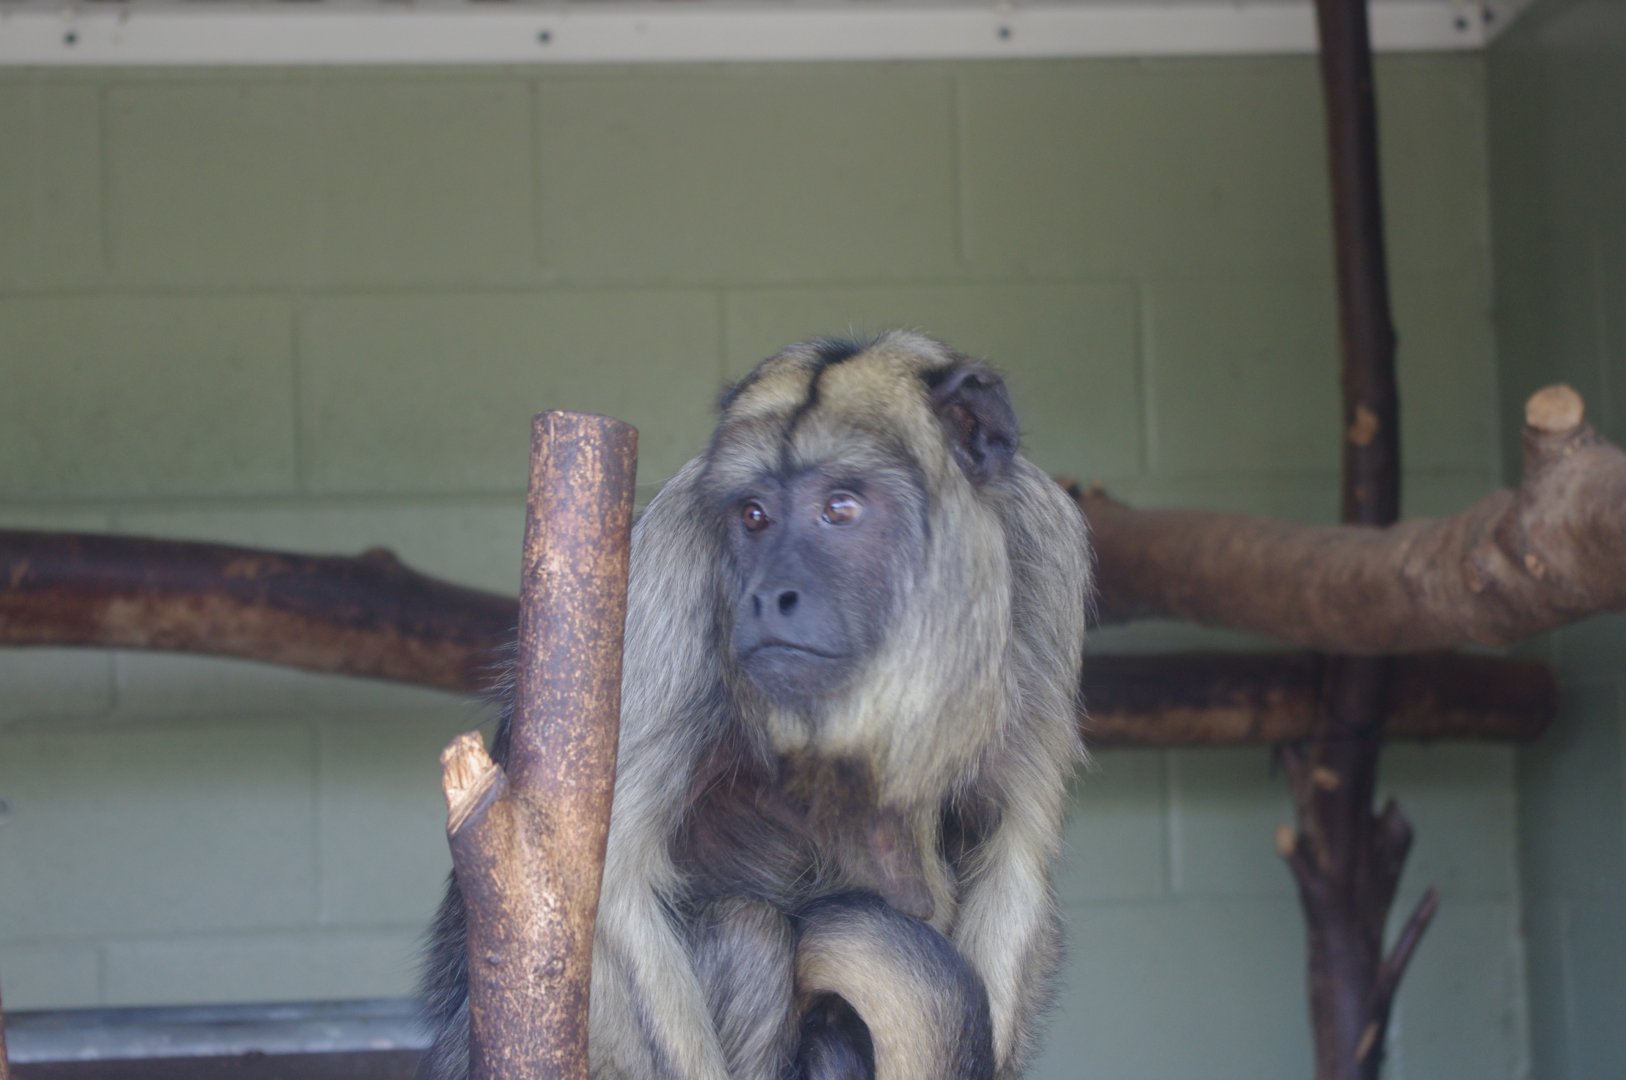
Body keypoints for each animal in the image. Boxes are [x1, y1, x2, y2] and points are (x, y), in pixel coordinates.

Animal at [418, 331, 1091, 1080]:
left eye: (841, 508)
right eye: (754, 517)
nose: (769, 595)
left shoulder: (1046, 562)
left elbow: (1016, 862)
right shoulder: (670, 562)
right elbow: (608, 895)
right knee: (748, 933)